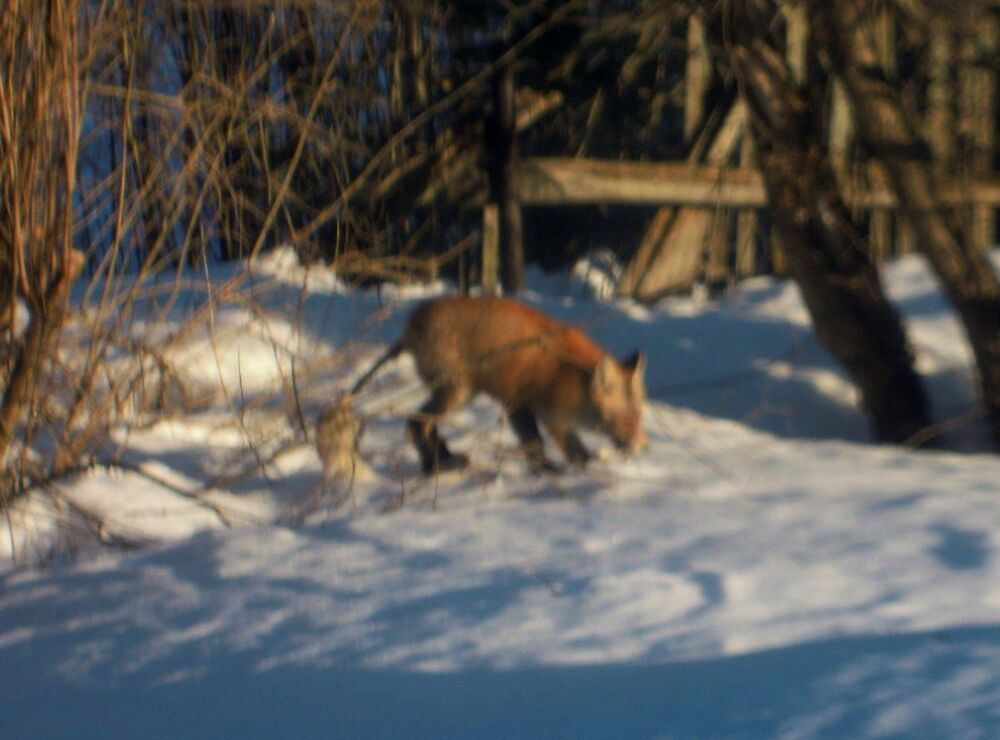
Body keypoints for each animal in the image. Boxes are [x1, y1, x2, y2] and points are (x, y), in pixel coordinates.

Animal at [349, 295, 647, 474]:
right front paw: (551, 470)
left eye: (639, 418)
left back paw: (444, 458)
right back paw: (435, 466)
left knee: (423, 423)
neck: (564, 373)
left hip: (463, 394)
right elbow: (539, 443)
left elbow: (559, 446)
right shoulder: (524, 405)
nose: (642, 447)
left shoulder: (532, 409)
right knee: (416, 422)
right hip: (455, 391)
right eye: (624, 419)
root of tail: (414, 319)